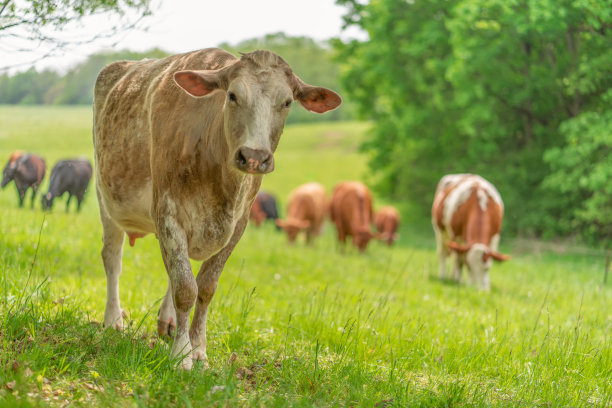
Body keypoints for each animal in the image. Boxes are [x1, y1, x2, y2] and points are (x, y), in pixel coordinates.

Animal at [93, 48, 342, 370]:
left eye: (287, 102)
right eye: (233, 95)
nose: (254, 156)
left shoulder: (239, 223)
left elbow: (205, 287)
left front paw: (198, 349)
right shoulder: (168, 212)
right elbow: (185, 287)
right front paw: (182, 355)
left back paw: (168, 321)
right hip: (106, 198)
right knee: (113, 258)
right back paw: (113, 319)